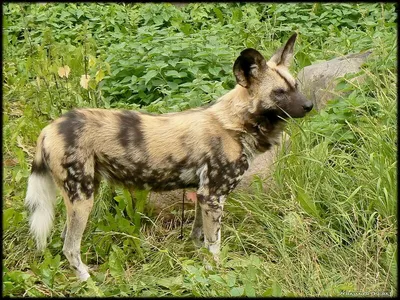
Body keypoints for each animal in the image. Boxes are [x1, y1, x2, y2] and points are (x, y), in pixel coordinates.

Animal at [25, 33, 312, 282]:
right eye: (278, 93)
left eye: (296, 86)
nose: (309, 105)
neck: (236, 124)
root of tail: (50, 128)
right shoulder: (214, 195)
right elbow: (215, 244)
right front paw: (216, 274)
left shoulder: (203, 196)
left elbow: (199, 237)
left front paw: (200, 266)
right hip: (82, 198)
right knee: (69, 246)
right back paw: (87, 281)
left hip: (84, 191)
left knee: (65, 238)